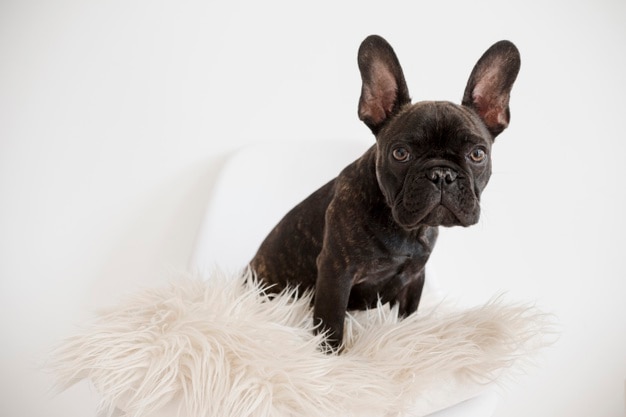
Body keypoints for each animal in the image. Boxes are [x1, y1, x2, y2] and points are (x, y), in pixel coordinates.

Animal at [249, 34, 516, 350]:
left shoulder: (415, 279)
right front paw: (330, 356)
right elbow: (331, 324)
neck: (404, 229)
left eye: (477, 154)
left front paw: (406, 339)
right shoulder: (335, 273)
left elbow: (407, 317)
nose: (442, 174)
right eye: (400, 153)